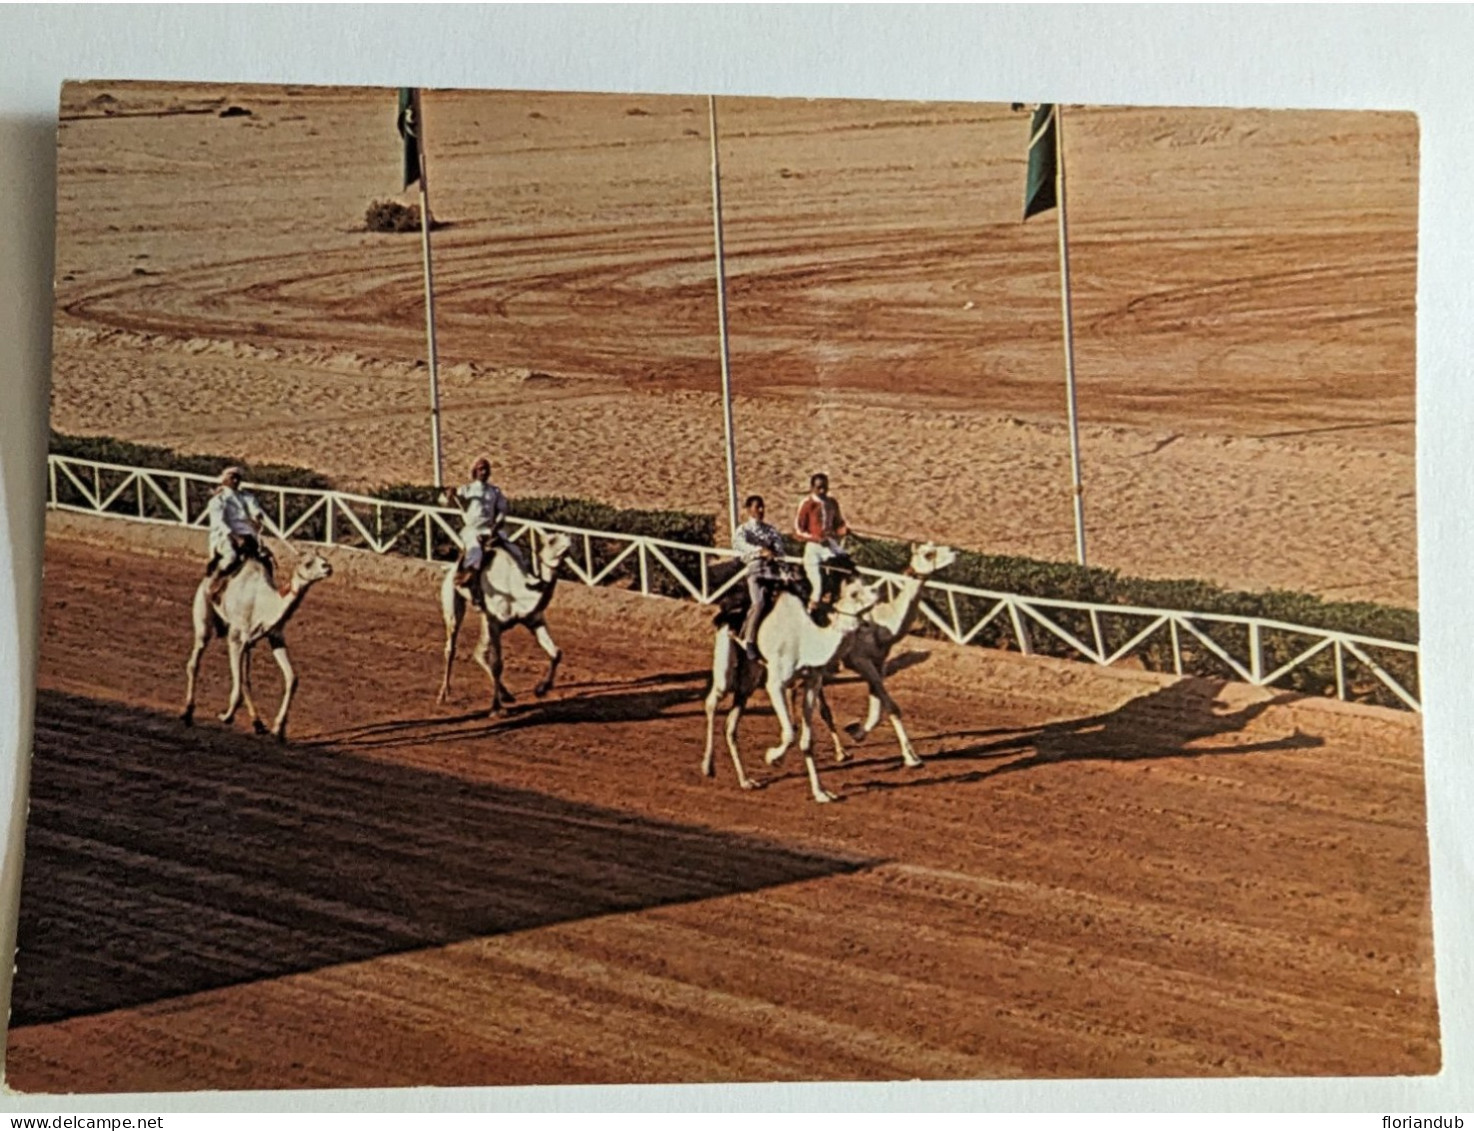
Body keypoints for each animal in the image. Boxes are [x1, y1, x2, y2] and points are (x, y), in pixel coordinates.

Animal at [181, 545, 334, 743]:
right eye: (308, 563)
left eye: (323, 558)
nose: (328, 567)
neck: (264, 605)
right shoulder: (235, 637)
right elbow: (238, 683)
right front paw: (226, 717)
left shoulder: (275, 637)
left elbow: (291, 678)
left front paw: (279, 729)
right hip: (203, 616)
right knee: (195, 661)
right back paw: (187, 713)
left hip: (248, 645)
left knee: (246, 679)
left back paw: (258, 723)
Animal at [433, 533, 571, 713]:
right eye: (552, 540)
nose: (569, 540)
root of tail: (451, 567)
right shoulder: (495, 623)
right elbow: (497, 664)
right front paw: (495, 708)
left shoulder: (534, 620)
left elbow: (556, 652)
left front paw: (541, 689)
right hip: (452, 600)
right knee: (451, 647)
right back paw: (443, 695)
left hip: (485, 617)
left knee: (478, 652)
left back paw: (506, 694)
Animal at [698, 575, 872, 802]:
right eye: (854, 593)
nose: (876, 598)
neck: (805, 640)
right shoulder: (776, 684)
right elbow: (789, 733)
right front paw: (772, 758)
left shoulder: (812, 681)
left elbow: (807, 738)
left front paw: (821, 792)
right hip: (726, 658)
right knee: (713, 700)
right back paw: (708, 767)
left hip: (750, 675)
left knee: (731, 723)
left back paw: (746, 781)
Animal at [813, 542, 961, 766]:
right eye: (928, 554)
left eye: (934, 545)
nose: (954, 552)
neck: (883, 624)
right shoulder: (859, 659)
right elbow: (892, 707)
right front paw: (912, 757)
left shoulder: (878, 663)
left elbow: (877, 709)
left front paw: (856, 731)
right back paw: (839, 752)